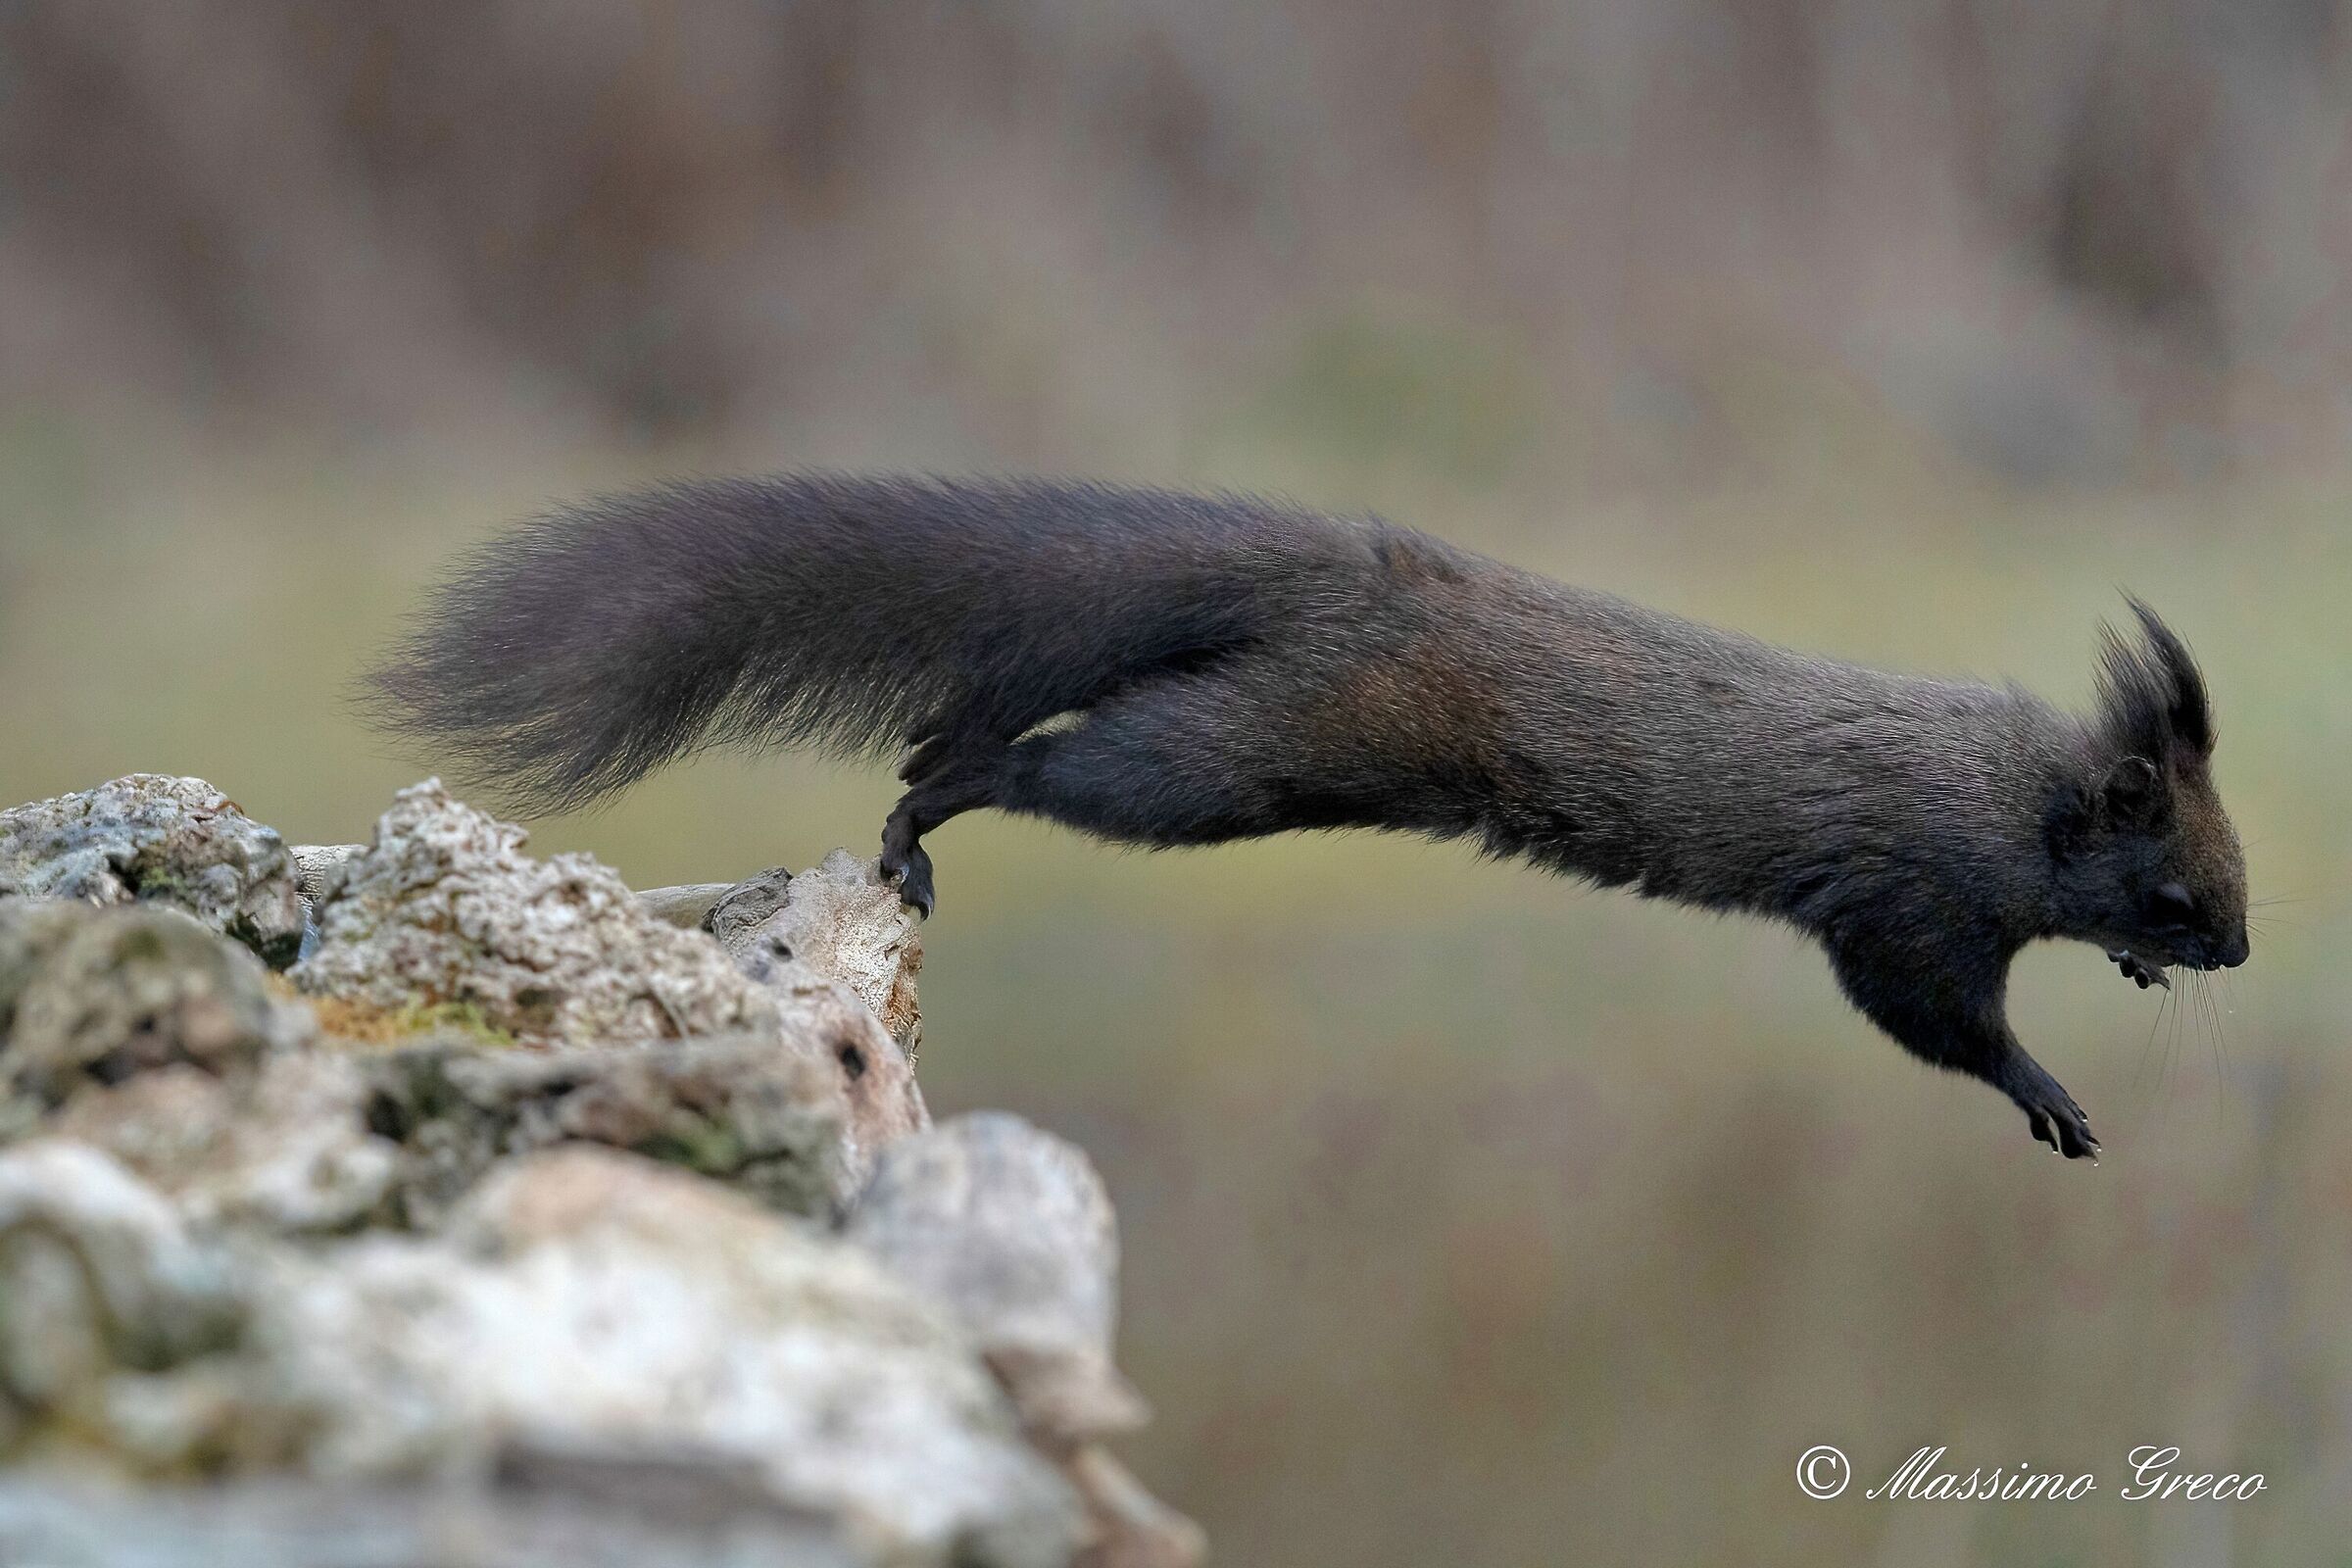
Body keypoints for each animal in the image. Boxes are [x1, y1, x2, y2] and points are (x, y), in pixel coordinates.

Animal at [370, 473, 2250, 1161]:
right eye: (2177, 883)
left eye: (2224, 885)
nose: (2228, 952)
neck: (2019, 800)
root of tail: (1349, 579)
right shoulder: (1908, 900)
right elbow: (1936, 1019)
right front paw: (2050, 1091)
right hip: (1235, 765)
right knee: (1043, 764)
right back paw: (930, 805)